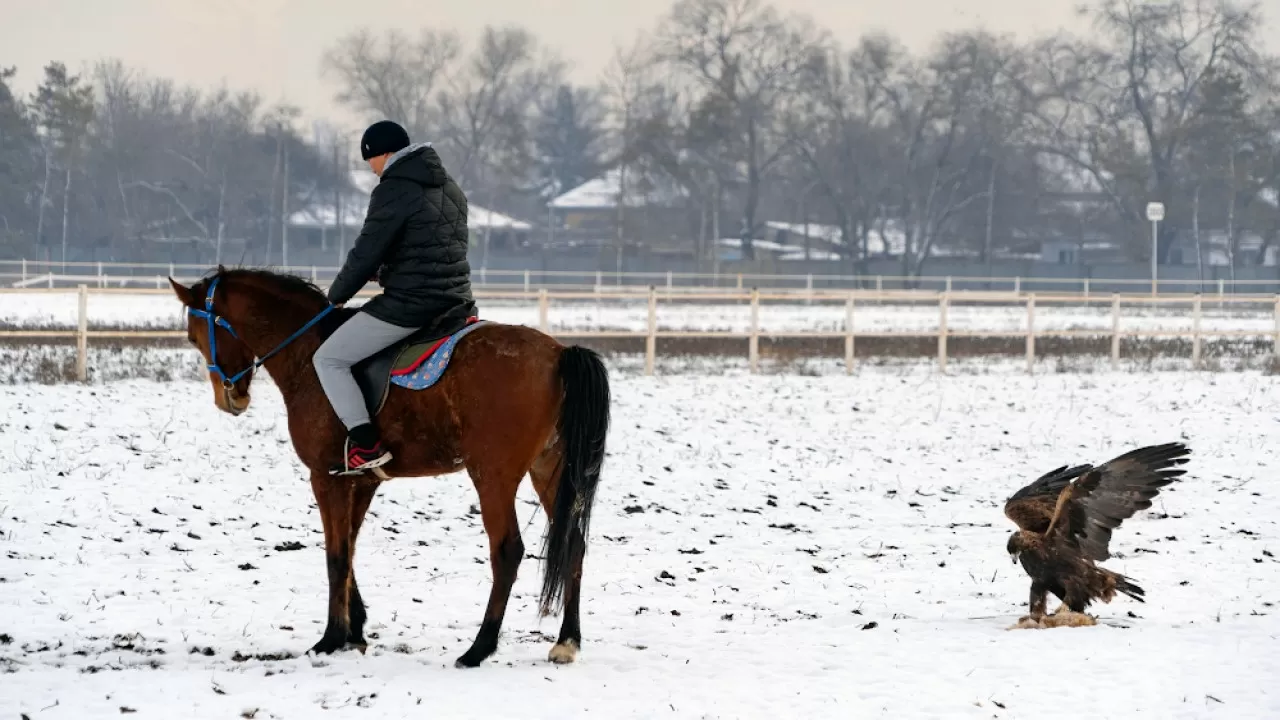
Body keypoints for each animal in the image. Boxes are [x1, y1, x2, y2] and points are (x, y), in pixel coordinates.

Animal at [167, 266, 611, 666]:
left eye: (194, 336)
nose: (230, 400)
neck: (308, 353)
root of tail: (559, 353)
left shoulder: (325, 477)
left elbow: (336, 555)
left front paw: (331, 638)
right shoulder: (360, 482)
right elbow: (350, 547)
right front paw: (355, 629)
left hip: (493, 476)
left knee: (508, 551)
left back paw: (479, 648)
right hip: (550, 471)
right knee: (573, 544)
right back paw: (567, 641)